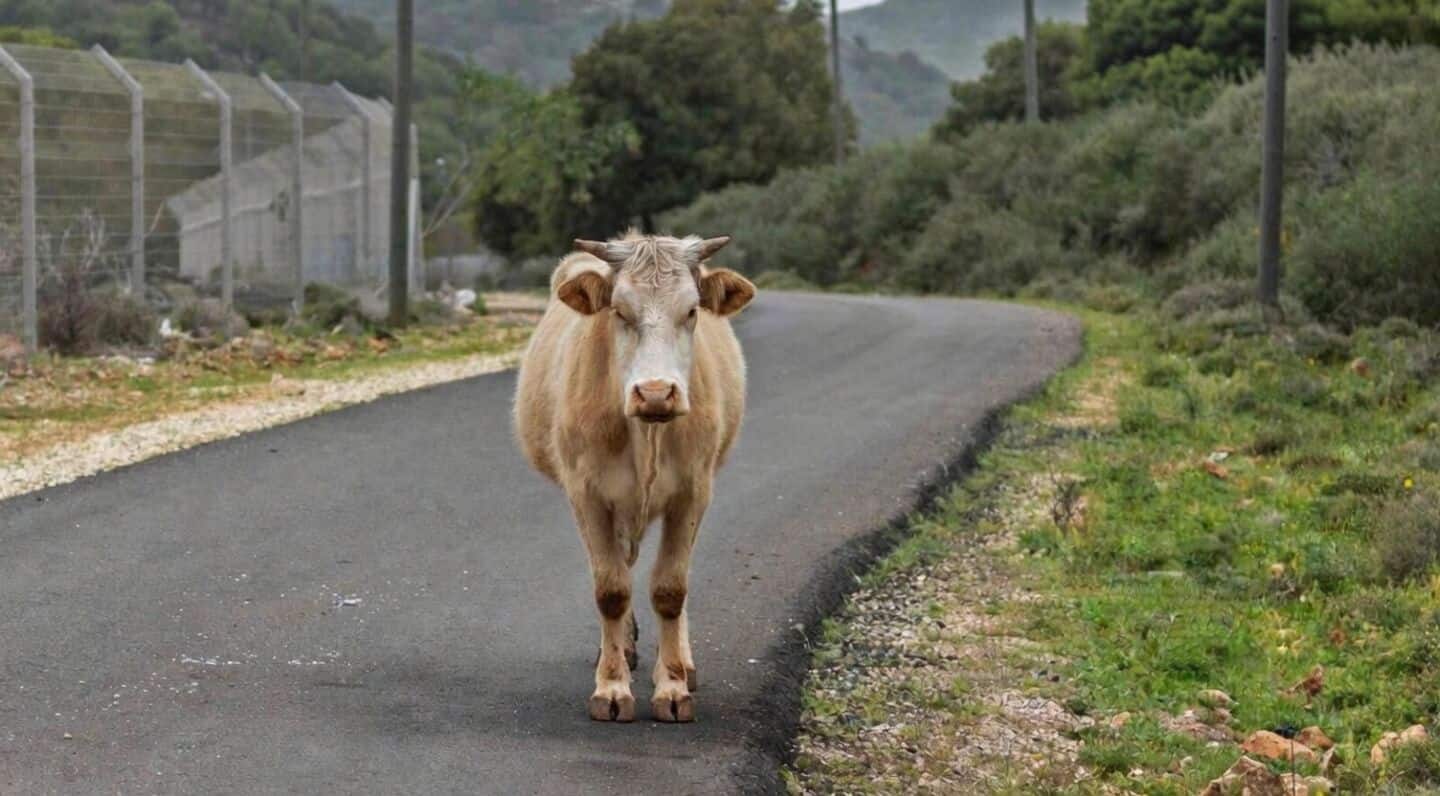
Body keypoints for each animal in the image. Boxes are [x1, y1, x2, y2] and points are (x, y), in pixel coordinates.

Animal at [513, 231, 756, 723]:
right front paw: (611, 687)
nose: (657, 393)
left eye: (692, 311)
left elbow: (671, 588)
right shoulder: (587, 495)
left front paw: (673, 687)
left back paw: (680, 660)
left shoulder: (693, 493)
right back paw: (622, 650)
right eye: (619, 311)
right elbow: (611, 589)